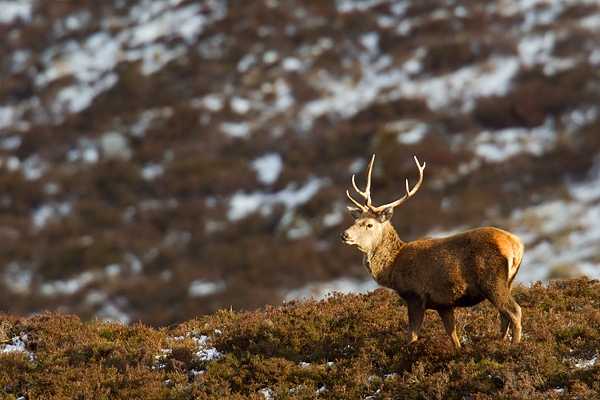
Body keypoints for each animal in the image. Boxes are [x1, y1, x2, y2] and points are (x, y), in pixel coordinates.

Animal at [340, 155, 524, 348]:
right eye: (355, 220)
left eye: (369, 224)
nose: (344, 235)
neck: (393, 267)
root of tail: (516, 245)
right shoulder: (443, 303)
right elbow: (452, 333)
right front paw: (457, 349)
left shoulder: (415, 295)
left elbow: (412, 336)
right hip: (508, 281)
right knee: (504, 316)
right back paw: (499, 343)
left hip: (491, 280)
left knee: (514, 310)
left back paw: (515, 346)